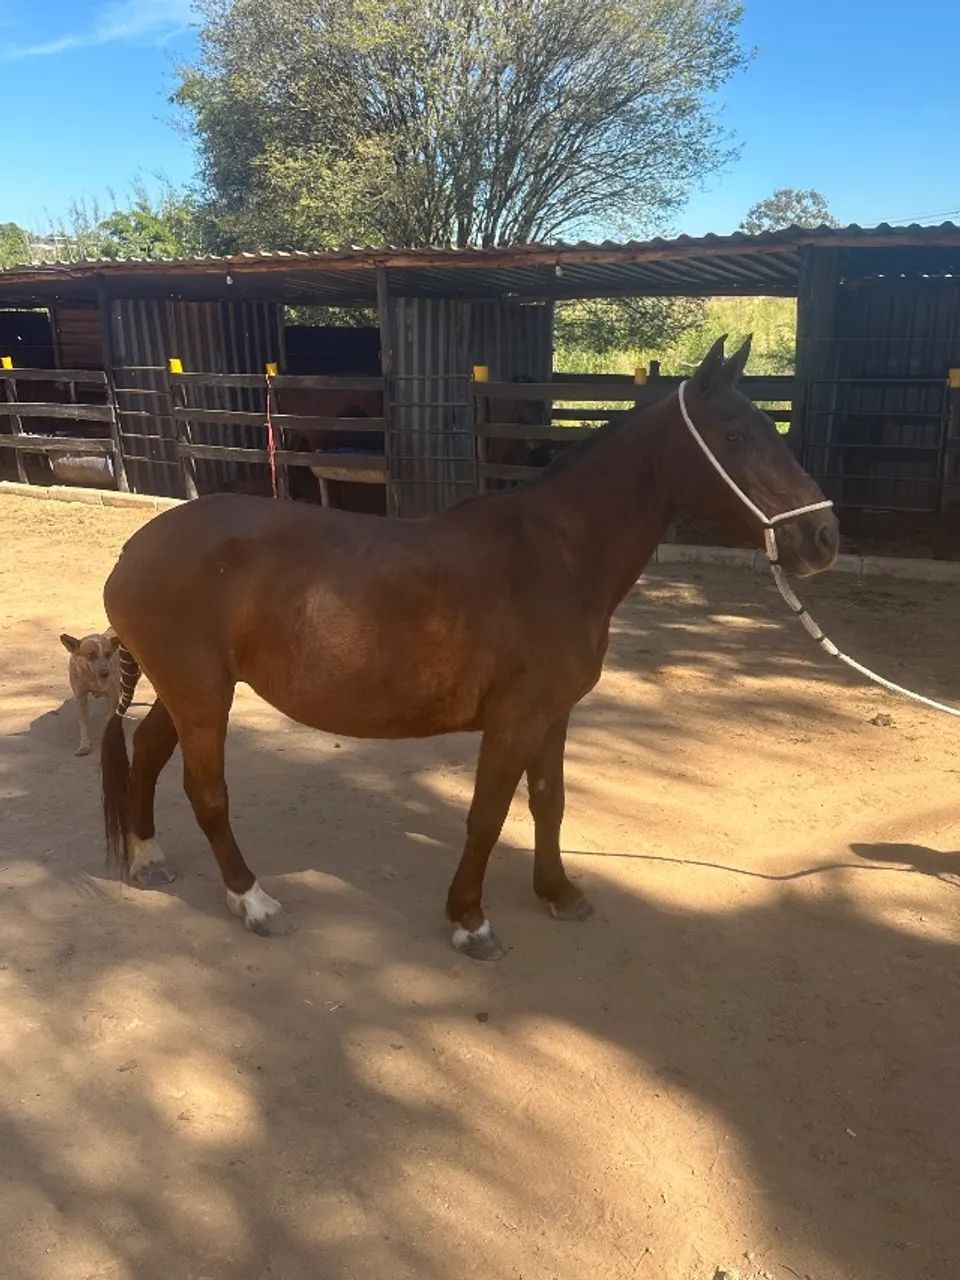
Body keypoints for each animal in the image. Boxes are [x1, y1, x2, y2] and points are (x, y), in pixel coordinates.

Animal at [100, 335, 839, 960]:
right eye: (736, 436)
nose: (825, 537)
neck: (555, 559)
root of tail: (133, 551)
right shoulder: (513, 721)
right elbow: (487, 816)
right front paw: (469, 920)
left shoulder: (552, 715)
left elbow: (549, 801)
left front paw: (558, 892)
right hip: (203, 696)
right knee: (207, 791)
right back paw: (251, 899)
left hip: (192, 690)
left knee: (149, 752)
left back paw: (146, 858)